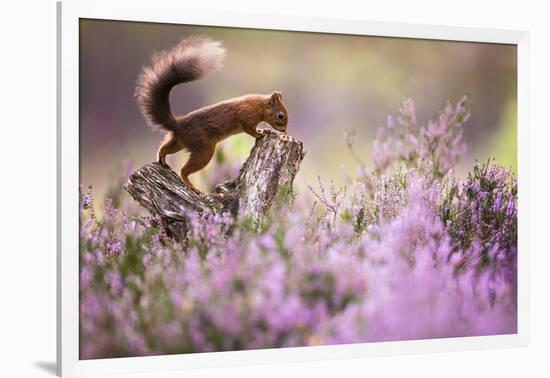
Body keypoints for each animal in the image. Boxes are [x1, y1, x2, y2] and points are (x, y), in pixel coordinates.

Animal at [136, 35, 292, 193]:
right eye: (280, 115)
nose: (285, 131)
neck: (259, 106)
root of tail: (178, 124)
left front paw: (264, 130)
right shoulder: (246, 116)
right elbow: (250, 130)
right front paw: (261, 133)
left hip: (179, 142)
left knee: (165, 148)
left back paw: (162, 158)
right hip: (204, 149)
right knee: (184, 170)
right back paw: (191, 186)